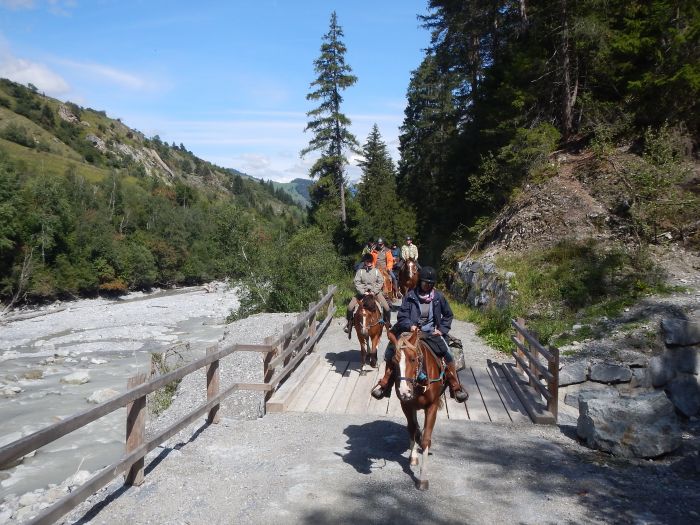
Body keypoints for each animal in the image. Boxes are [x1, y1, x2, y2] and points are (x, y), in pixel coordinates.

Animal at [392, 330, 446, 490]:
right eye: (393, 361)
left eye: (413, 359)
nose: (404, 391)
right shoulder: (406, 405)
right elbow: (413, 429)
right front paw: (414, 456)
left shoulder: (432, 406)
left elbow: (426, 439)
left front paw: (422, 479)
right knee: (414, 428)